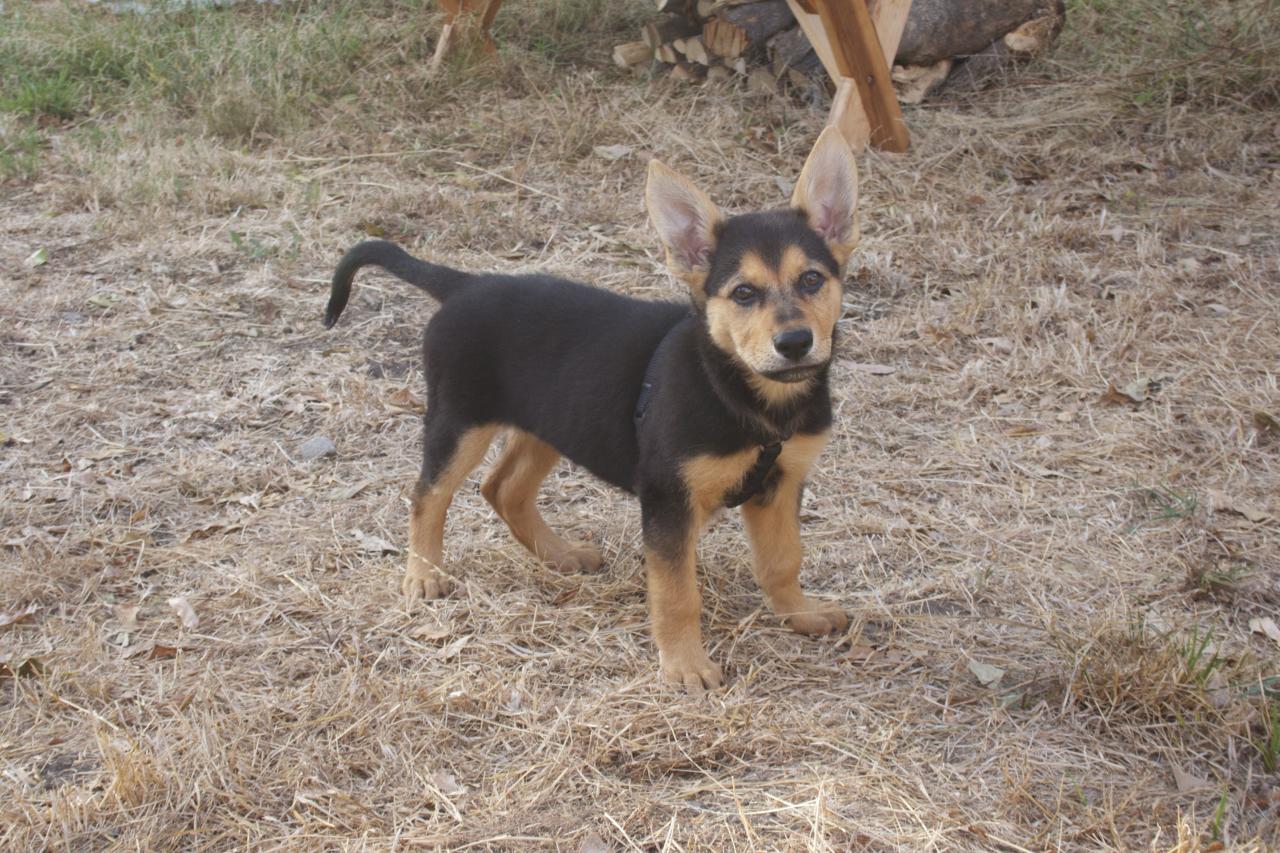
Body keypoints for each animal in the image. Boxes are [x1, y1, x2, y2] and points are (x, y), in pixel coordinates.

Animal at [325, 126, 860, 686]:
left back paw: (560, 555)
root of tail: (466, 284)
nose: (795, 343)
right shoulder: (668, 500)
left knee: (502, 488)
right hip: (459, 421)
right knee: (428, 495)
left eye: (812, 280)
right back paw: (425, 574)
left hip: (553, 422)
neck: (744, 392)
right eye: (743, 293)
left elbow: (783, 559)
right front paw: (686, 666)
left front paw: (800, 613)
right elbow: (676, 593)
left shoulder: (782, 484)